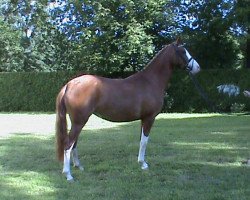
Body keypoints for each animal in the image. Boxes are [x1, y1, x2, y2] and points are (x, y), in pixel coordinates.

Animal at [55, 38, 200, 180]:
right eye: (182, 51)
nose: (197, 68)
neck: (150, 81)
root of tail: (69, 84)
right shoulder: (149, 118)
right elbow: (144, 142)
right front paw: (143, 164)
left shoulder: (143, 119)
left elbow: (141, 140)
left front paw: (141, 162)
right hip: (79, 121)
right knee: (68, 144)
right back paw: (68, 175)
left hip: (77, 122)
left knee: (74, 143)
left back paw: (78, 166)